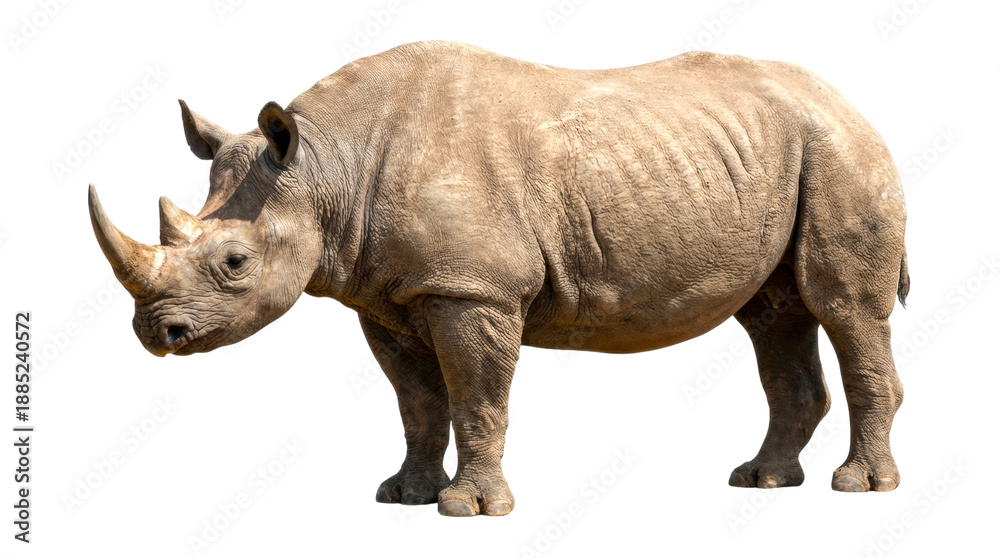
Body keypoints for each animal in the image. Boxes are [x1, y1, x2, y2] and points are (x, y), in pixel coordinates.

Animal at [89, 41, 909, 516]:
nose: (156, 333)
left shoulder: (471, 288)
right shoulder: (391, 294)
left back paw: (858, 490)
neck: (326, 167)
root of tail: (851, 103)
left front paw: (471, 509)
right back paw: (761, 482)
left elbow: (478, 396)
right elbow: (418, 403)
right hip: (788, 153)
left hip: (840, 152)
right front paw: (403, 496)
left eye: (235, 264)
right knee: (775, 315)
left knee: (844, 308)